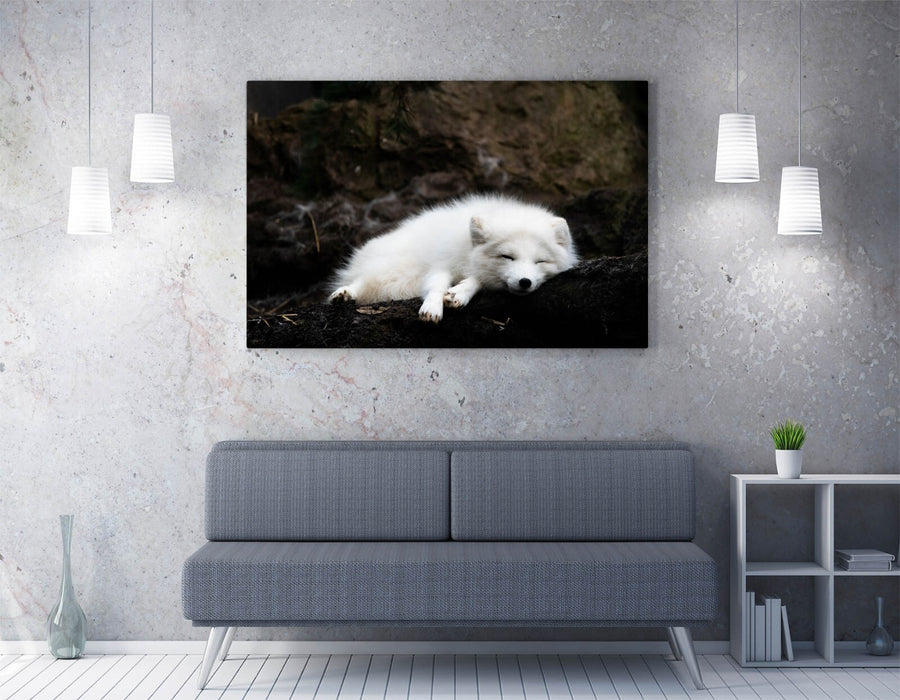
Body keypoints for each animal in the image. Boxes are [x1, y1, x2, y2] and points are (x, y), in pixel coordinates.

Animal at [329, 194, 577, 322]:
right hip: (393, 268)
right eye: (507, 256)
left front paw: (459, 293)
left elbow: (476, 281)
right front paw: (432, 308)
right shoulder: (442, 263)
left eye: (540, 261)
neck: (467, 249)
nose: (525, 282)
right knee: (363, 280)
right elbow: (437, 285)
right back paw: (344, 294)